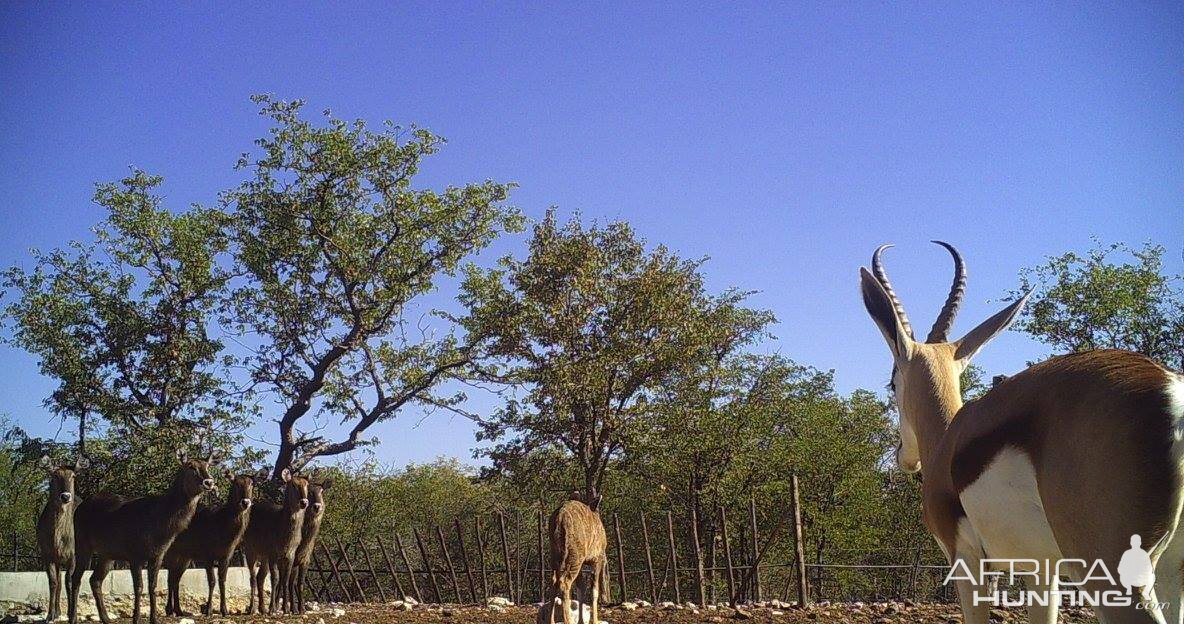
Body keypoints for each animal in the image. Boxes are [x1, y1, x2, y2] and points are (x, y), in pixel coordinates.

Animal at [38, 454, 86, 624]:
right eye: (55, 475)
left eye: (73, 476)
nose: (65, 496)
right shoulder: (47, 555)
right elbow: (53, 582)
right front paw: (50, 615)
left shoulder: (74, 556)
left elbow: (69, 582)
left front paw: (73, 615)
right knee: (59, 581)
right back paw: (58, 611)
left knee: (73, 581)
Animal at [68, 449, 217, 624]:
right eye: (191, 466)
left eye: (207, 466)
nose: (209, 482)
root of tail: (79, 509)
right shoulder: (134, 554)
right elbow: (138, 587)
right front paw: (136, 618)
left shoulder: (158, 555)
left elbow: (153, 586)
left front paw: (154, 619)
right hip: (82, 544)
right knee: (76, 578)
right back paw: (73, 618)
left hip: (107, 554)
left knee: (94, 580)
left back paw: (106, 618)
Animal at [162, 471, 259, 615]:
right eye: (235, 483)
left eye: (251, 484)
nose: (245, 502)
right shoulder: (207, 554)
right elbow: (212, 581)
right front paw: (208, 609)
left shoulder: (227, 555)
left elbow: (222, 580)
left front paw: (225, 610)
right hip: (172, 551)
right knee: (170, 578)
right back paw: (169, 609)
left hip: (185, 557)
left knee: (176, 579)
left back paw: (179, 610)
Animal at [542, 492, 601, 624]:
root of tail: (559, 519)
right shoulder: (598, 558)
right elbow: (594, 590)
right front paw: (595, 621)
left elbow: (581, 588)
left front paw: (581, 621)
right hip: (574, 557)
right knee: (564, 582)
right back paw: (567, 620)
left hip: (556, 555)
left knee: (554, 580)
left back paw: (551, 620)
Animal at [861, 242, 1184, 624]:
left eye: (892, 382)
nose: (903, 456)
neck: (948, 440)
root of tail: (1170, 390)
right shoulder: (1042, 569)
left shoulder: (966, 559)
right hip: (1171, 574)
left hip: (1113, 574)